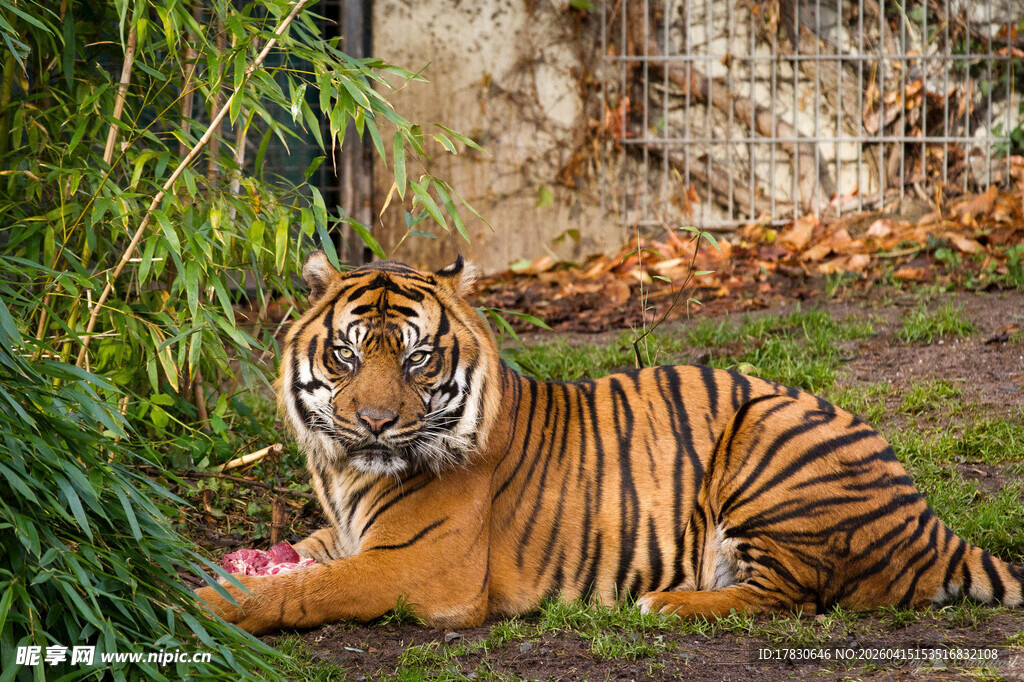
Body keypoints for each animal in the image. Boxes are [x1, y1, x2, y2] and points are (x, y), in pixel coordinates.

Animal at [196, 252, 1024, 635]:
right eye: (345, 353)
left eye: (417, 358)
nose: (371, 422)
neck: (348, 473)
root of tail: (931, 522)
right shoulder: (342, 536)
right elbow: (281, 566)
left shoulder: (419, 568)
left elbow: (305, 591)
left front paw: (208, 606)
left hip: (768, 444)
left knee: (789, 596)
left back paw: (666, 601)